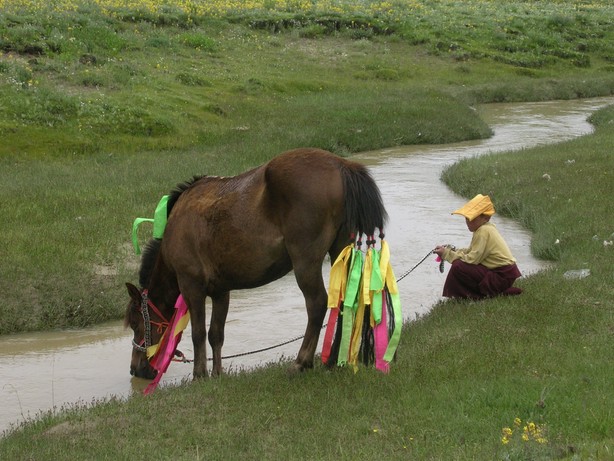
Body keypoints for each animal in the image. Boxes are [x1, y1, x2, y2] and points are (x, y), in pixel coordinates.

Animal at [124, 147, 390, 378]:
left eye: (136, 323)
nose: (135, 369)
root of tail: (341, 164)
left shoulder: (192, 286)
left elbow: (198, 333)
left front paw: (199, 375)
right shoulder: (221, 291)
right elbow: (215, 334)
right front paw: (217, 374)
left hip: (306, 262)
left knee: (317, 303)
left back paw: (302, 361)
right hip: (339, 253)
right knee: (342, 301)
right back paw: (333, 360)